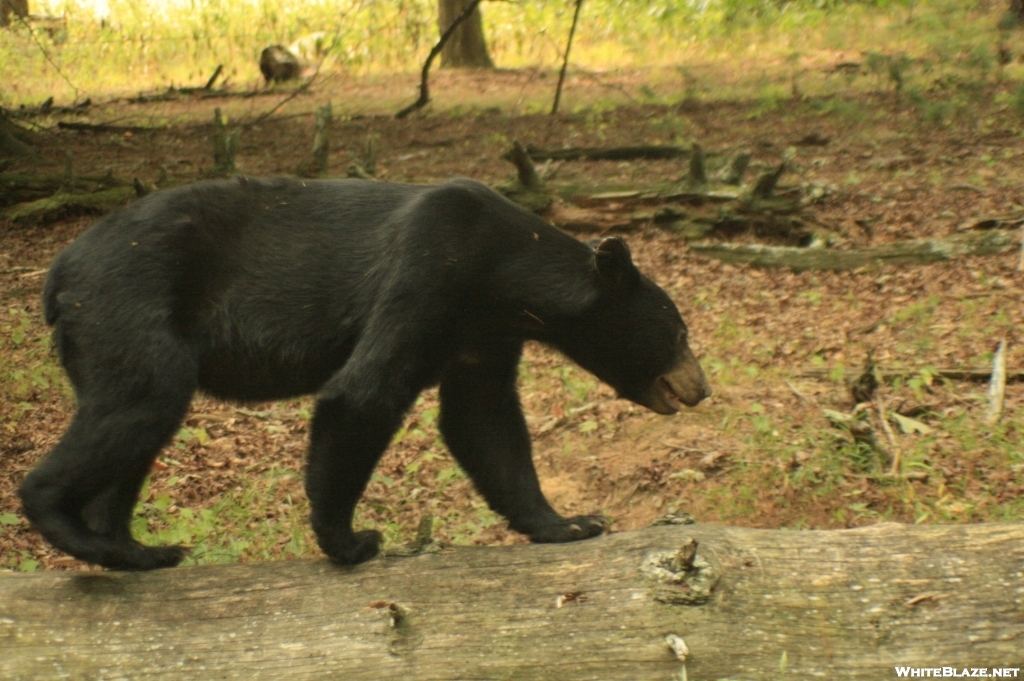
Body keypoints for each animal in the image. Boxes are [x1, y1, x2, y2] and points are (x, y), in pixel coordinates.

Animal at [19, 175, 716, 569]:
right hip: (130, 308)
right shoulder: (429, 272)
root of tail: (58, 275)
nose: (702, 386)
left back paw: (136, 549)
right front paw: (351, 542)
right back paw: (84, 534)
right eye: (680, 332)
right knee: (139, 403)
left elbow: (483, 419)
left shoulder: (483, 333)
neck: (505, 278)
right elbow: (363, 393)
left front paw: (569, 523)